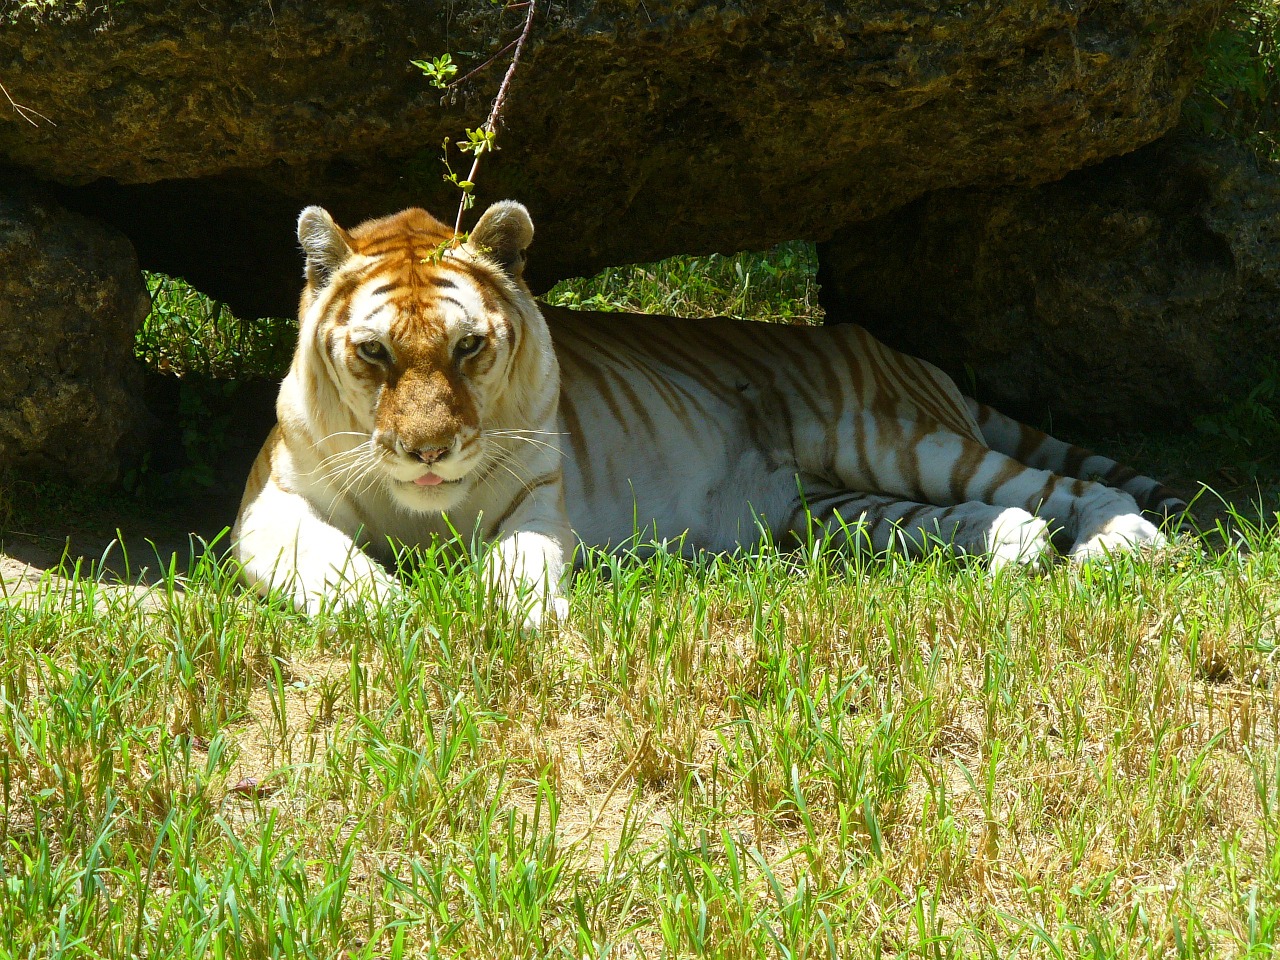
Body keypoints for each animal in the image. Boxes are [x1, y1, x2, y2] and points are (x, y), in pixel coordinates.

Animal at [232, 199, 1177, 627]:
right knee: (977, 516)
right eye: (374, 353)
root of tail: (901, 351)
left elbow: (521, 565)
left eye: (468, 348)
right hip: (830, 508)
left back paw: (1123, 545)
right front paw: (400, 614)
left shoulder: (535, 502)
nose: (428, 450)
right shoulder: (270, 506)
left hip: (890, 440)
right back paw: (1016, 549)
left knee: (1061, 485)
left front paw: (521, 618)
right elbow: (333, 569)